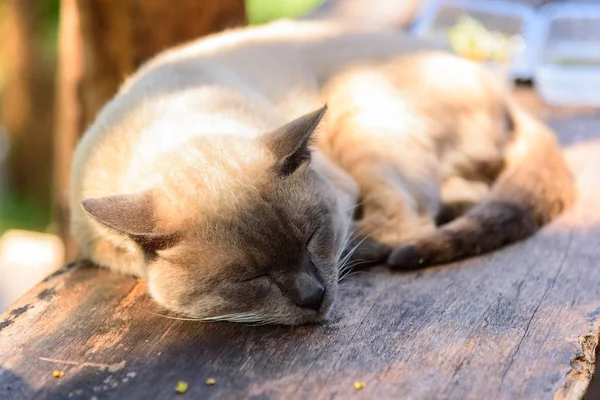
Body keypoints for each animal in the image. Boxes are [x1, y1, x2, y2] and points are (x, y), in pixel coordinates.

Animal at [70, 19, 576, 324]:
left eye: (312, 237)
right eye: (249, 278)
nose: (313, 296)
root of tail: (500, 88)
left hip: (358, 108)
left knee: (409, 227)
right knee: (460, 196)